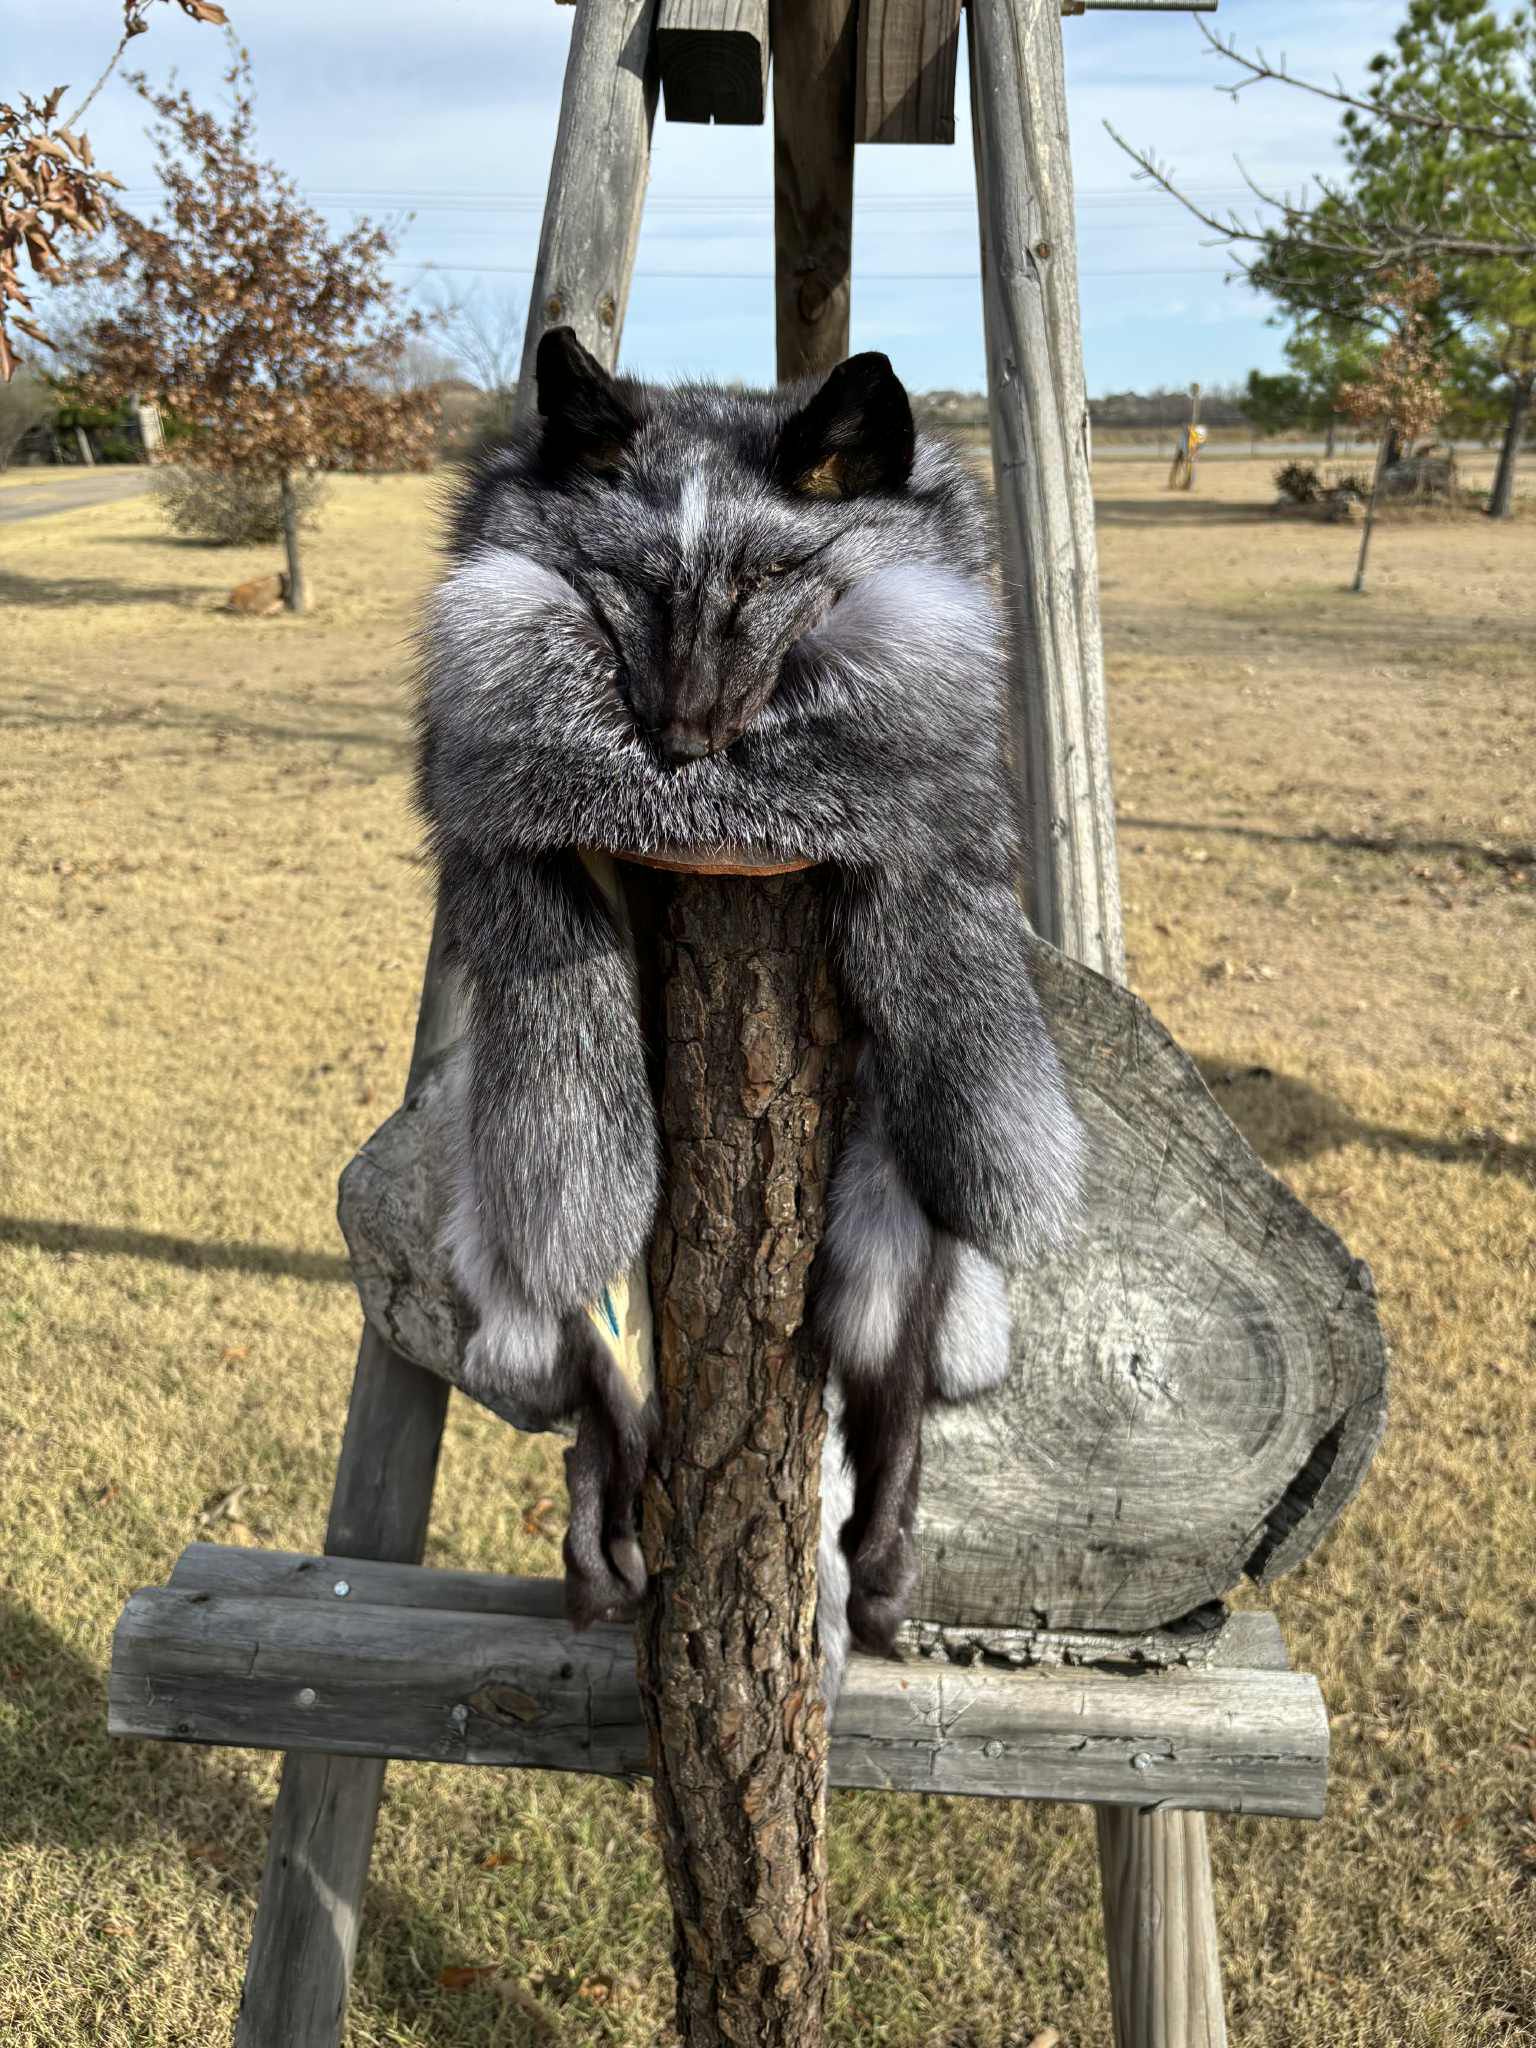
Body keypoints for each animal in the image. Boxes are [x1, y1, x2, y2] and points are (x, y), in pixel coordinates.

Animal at [418, 327, 1085, 1697]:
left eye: (777, 573)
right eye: (630, 579)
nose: (680, 741)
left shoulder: (931, 813)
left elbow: (940, 897)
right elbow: (527, 901)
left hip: (889, 1226)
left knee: (891, 1406)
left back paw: (877, 1572)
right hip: (571, 1295)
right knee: (601, 1410)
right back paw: (604, 1552)